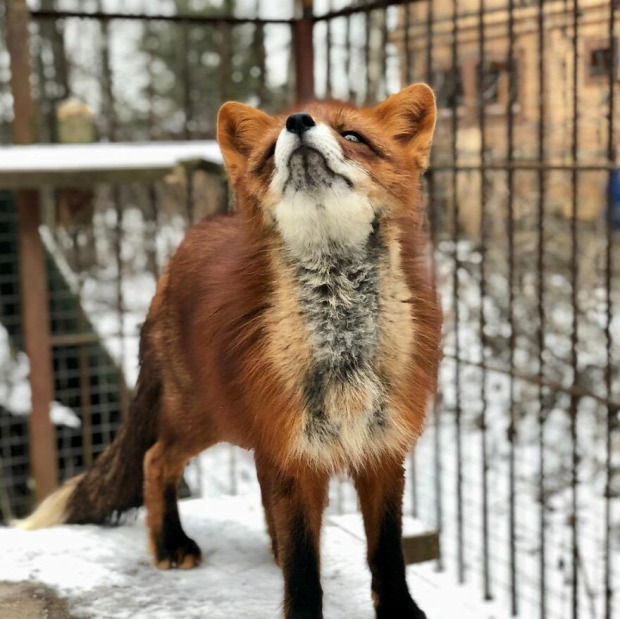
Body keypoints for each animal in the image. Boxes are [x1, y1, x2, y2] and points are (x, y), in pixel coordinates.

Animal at [18, 83, 440, 619]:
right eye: (270, 148)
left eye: (352, 135)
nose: (298, 121)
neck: (342, 346)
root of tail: (190, 238)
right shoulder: (292, 451)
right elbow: (303, 563)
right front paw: (301, 607)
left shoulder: (381, 449)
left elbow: (387, 552)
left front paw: (400, 611)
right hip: (201, 415)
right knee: (155, 460)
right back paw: (170, 542)